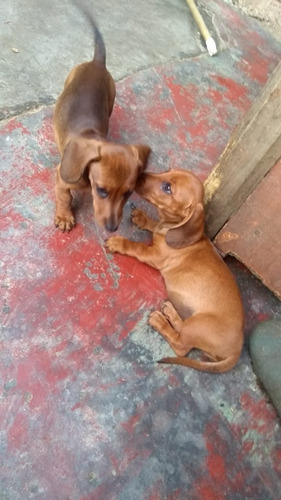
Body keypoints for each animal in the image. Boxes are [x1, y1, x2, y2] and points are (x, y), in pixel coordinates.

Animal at [52, 9, 149, 232]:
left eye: (128, 193)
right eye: (102, 190)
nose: (112, 228)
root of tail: (97, 62)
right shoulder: (61, 178)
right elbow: (64, 198)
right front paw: (64, 217)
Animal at [106, 170, 243, 374]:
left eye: (167, 188)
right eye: (168, 170)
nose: (139, 173)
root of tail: (237, 350)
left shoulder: (154, 255)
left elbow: (136, 246)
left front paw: (118, 243)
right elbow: (154, 225)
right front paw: (143, 218)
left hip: (197, 325)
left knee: (181, 347)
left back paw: (160, 322)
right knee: (181, 327)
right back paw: (170, 312)